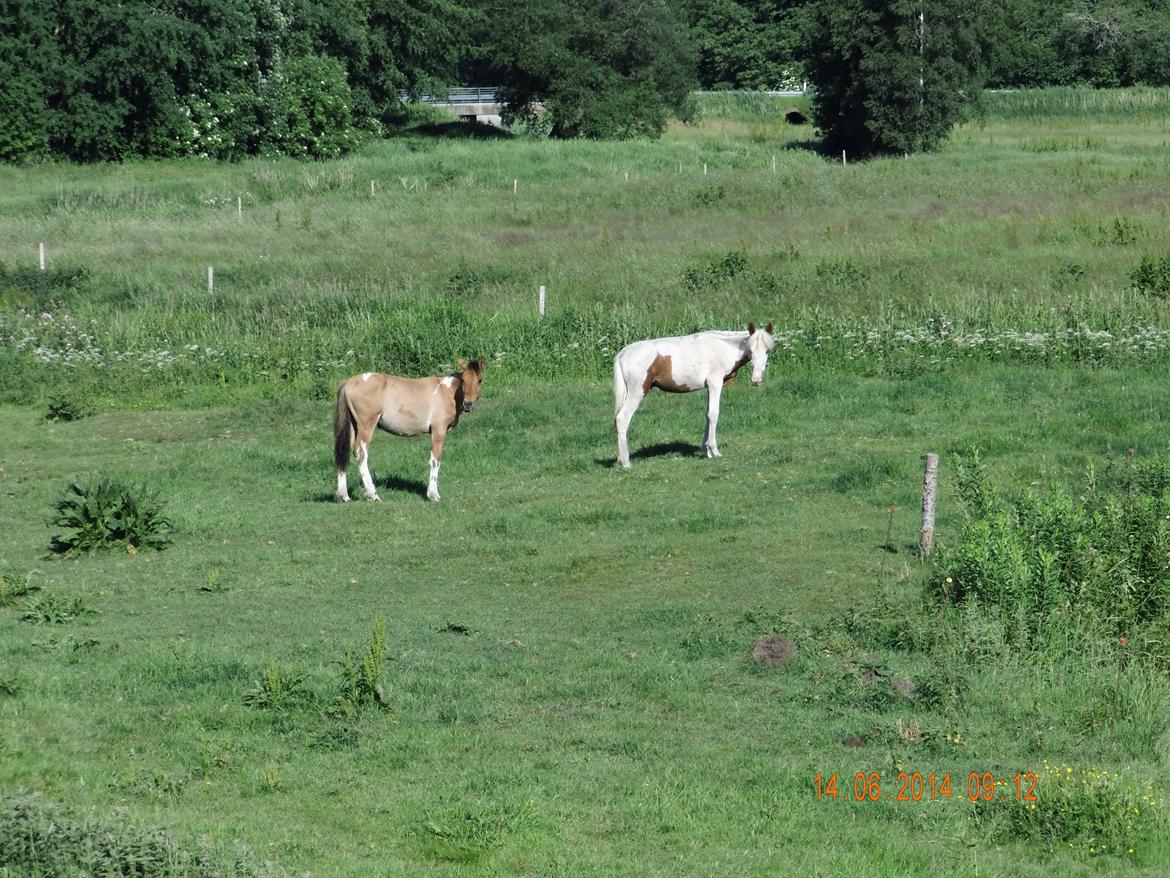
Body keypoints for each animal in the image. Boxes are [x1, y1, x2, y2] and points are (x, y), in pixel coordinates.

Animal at [334, 358, 484, 505]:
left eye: (480, 380)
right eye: (463, 380)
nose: (468, 404)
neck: (446, 391)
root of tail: (348, 382)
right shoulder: (439, 430)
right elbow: (435, 460)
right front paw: (433, 495)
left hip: (353, 427)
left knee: (344, 453)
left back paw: (344, 496)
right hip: (366, 425)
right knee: (361, 453)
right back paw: (372, 495)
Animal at [613, 325, 776, 475]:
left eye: (768, 351)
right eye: (751, 351)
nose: (757, 379)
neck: (722, 348)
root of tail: (623, 353)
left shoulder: (709, 387)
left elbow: (707, 415)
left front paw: (706, 450)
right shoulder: (715, 383)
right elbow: (714, 414)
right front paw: (714, 451)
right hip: (636, 393)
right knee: (622, 419)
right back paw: (626, 462)